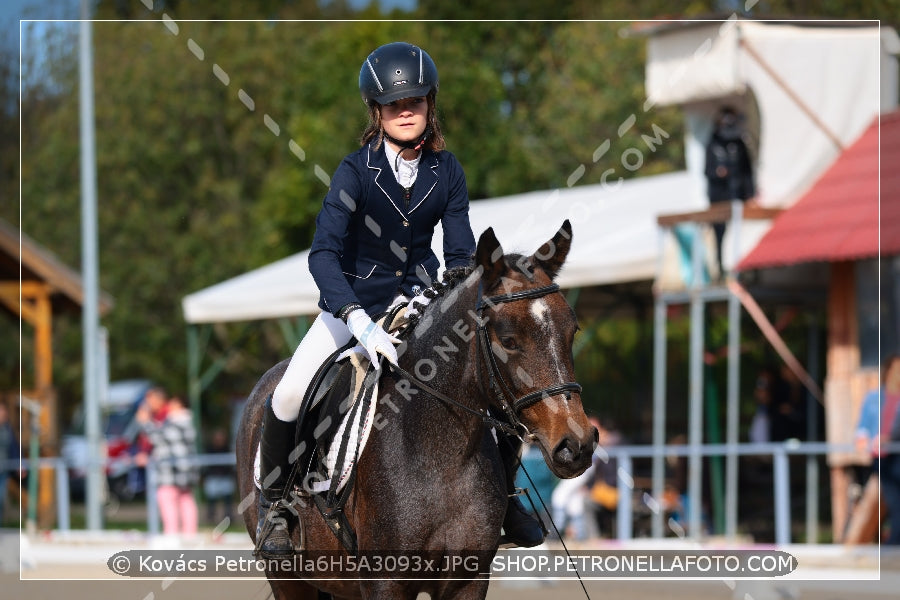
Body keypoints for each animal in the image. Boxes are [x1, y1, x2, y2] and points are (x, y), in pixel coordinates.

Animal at [236, 220, 596, 600]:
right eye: (508, 340)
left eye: (572, 331)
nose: (577, 445)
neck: (440, 451)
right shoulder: (385, 581)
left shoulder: (468, 580)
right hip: (288, 577)